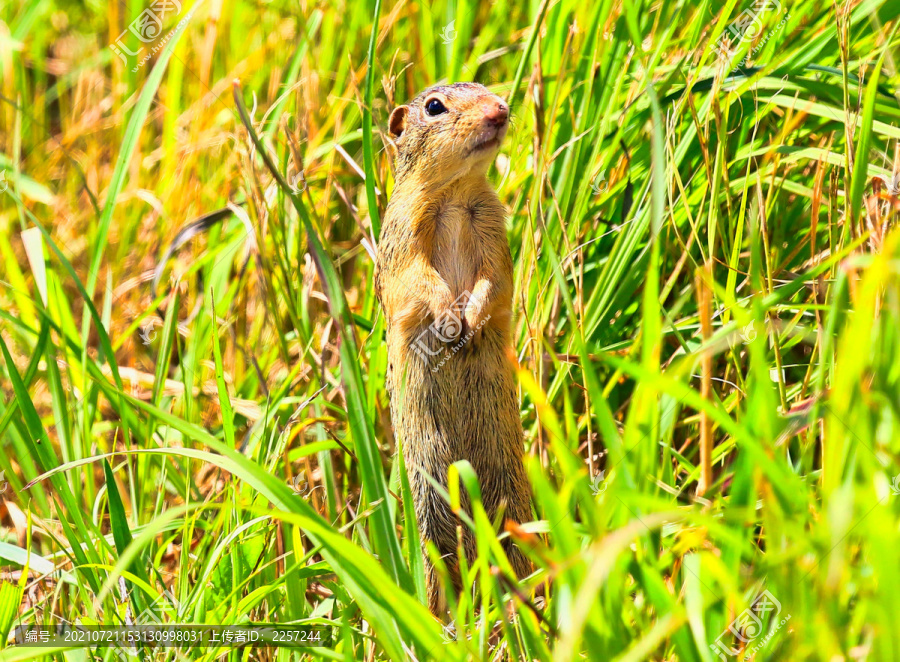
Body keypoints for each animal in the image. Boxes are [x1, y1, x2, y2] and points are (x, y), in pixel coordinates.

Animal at [374, 83, 536, 616]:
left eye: (486, 89)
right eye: (434, 107)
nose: (500, 110)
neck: (455, 194)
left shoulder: (494, 230)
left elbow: (495, 281)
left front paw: (473, 319)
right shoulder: (403, 240)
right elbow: (420, 282)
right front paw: (450, 321)